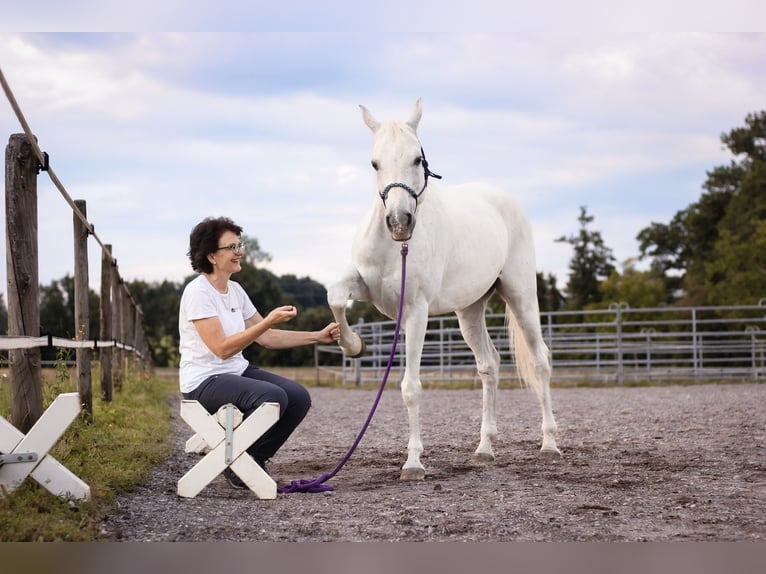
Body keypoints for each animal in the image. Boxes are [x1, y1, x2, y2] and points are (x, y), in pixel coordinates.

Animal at [328, 99, 560, 482]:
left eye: (416, 159)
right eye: (375, 163)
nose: (399, 223)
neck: (395, 247)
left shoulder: (415, 312)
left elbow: (410, 388)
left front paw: (413, 463)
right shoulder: (365, 288)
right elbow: (333, 295)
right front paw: (352, 344)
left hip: (522, 297)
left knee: (540, 361)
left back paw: (550, 443)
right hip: (470, 311)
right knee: (489, 365)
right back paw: (484, 450)